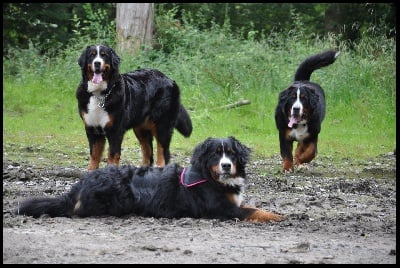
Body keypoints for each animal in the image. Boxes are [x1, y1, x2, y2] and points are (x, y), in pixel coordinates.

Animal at [15, 137, 282, 223]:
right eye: (216, 154)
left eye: (231, 154)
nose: (227, 165)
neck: (212, 178)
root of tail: (81, 184)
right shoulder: (222, 209)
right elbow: (254, 211)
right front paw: (278, 217)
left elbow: (253, 206)